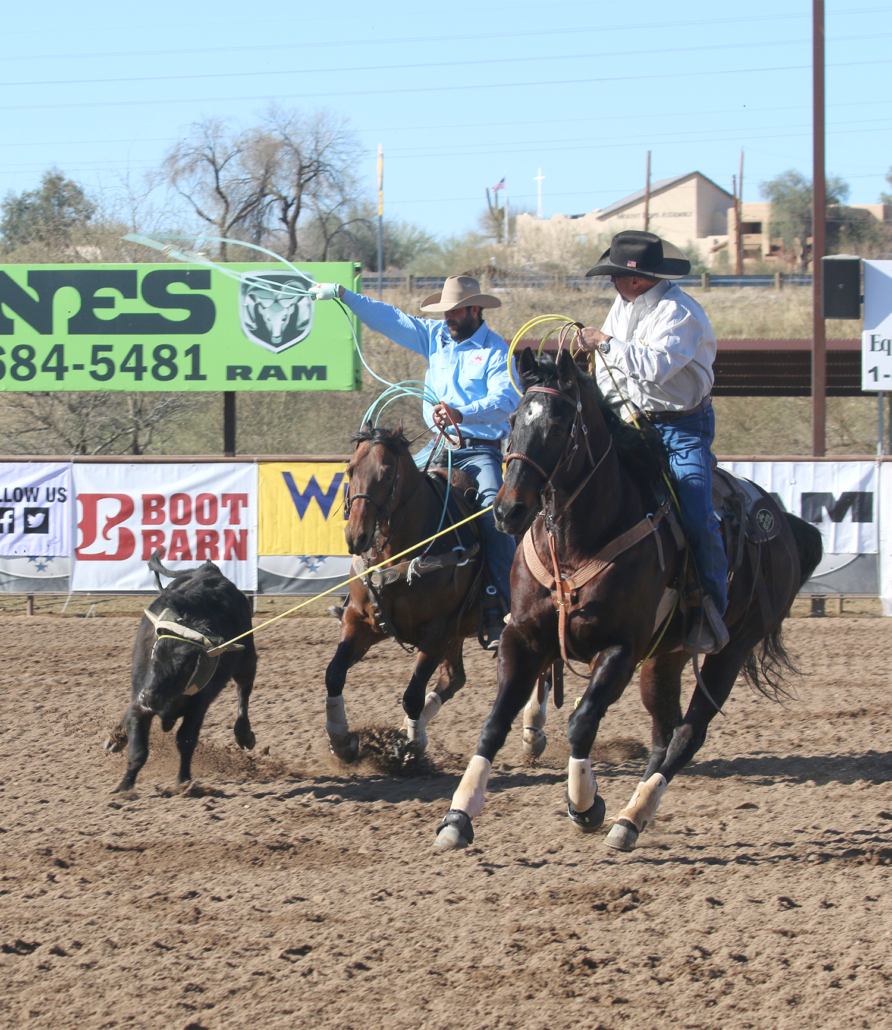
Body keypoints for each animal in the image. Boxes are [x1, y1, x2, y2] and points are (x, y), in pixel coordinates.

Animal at [321, 422, 484, 762]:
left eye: (386, 474)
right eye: (350, 469)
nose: (356, 536)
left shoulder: (437, 634)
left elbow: (412, 696)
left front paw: (410, 746)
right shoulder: (360, 621)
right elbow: (334, 674)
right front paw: (341, 740)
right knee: (453, 678)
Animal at [432, 352, 819, 852]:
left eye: (558, 425)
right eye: (514, 419)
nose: (507, 511)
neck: (578, 541)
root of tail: (786, 523)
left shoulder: (621, 649)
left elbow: (582, 723)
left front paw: (585, 805)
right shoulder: (525, 638)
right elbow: (494, 723)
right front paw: (459, 815)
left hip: (731, 650)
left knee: (688, 735)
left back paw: (629, 819)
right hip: (666, 658)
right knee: (664, 732)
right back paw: (632, 814)